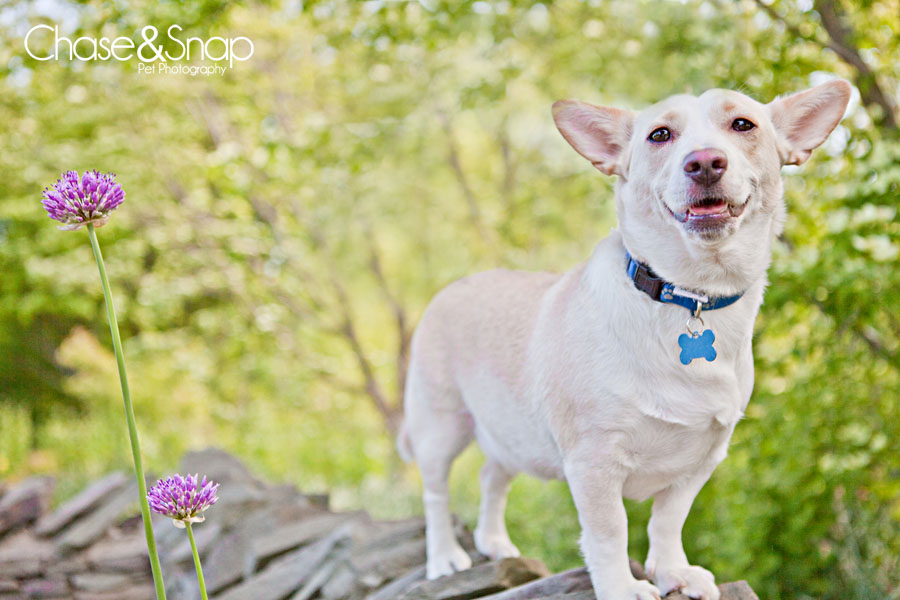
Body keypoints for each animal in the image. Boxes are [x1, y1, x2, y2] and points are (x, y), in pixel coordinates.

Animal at [400, 81, 852, 600]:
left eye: (743, 125)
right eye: (660, 135)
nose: (704, 162)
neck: (690, 294)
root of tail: (454, 286)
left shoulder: (700, 460)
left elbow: (667, 522)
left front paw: (674, 571)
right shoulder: (594, 463)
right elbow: (610, 531)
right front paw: (621, 585)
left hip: (512, 433)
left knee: (491, 476)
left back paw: (494, 542)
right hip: (440, 427)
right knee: (435, 494)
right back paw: (445, 558)